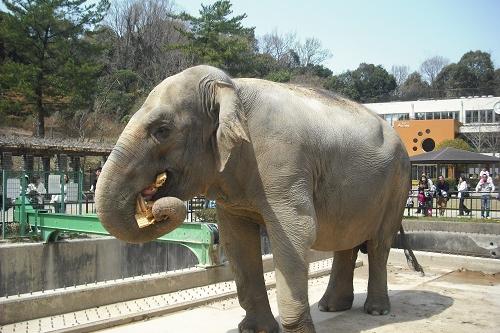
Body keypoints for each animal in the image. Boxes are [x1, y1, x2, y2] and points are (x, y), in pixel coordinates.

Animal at [96, 65, 414, 332]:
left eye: (162, 131)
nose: (154, 208)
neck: (231, 88)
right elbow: (236, 241)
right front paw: (255, 330)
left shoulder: (284, 164)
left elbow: (296, 233)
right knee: (346, 240)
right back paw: (331, 307)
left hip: (398, 183)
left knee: (378, 244)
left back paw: (375, 311)